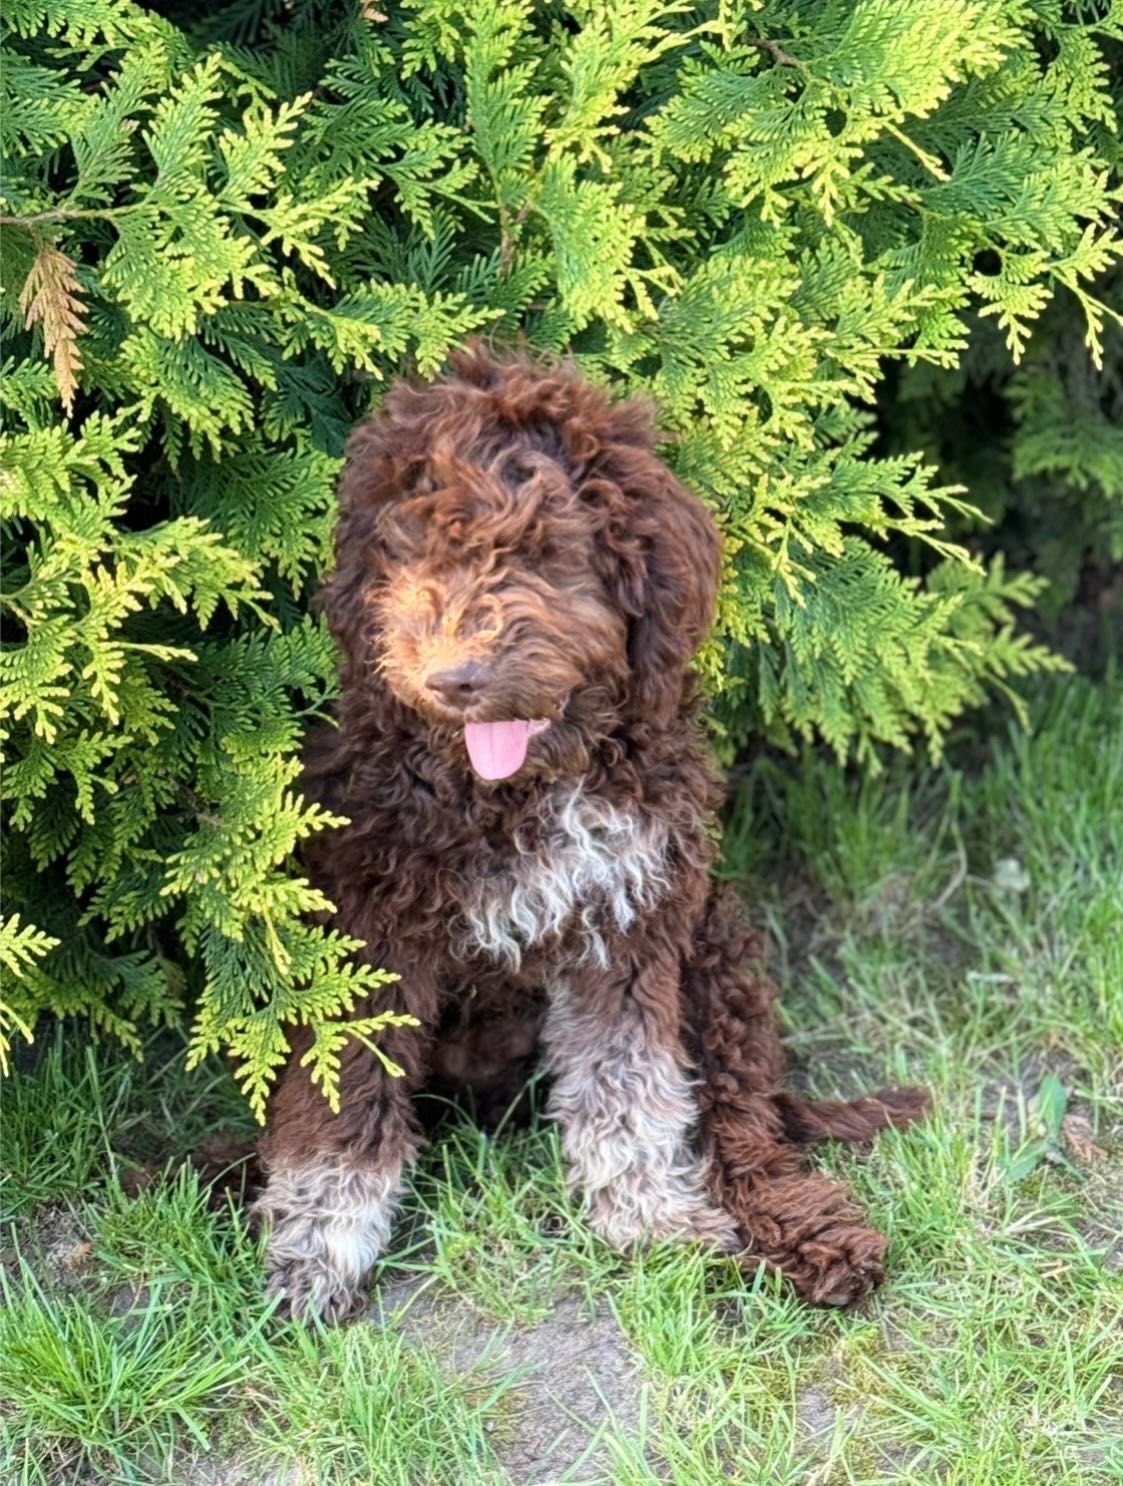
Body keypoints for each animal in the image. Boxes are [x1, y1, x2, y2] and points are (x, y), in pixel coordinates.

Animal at [256, 341, 932, 1319]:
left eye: (540, 552)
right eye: (408, 551)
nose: (453, 676)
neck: (518, 790)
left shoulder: (629, 922)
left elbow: (630, 1084)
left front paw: (652, 1220)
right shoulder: (369, 932)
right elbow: (344, 1102)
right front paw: (315, 1252)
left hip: (714, 952)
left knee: (742, 1119)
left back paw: (806, 1239)